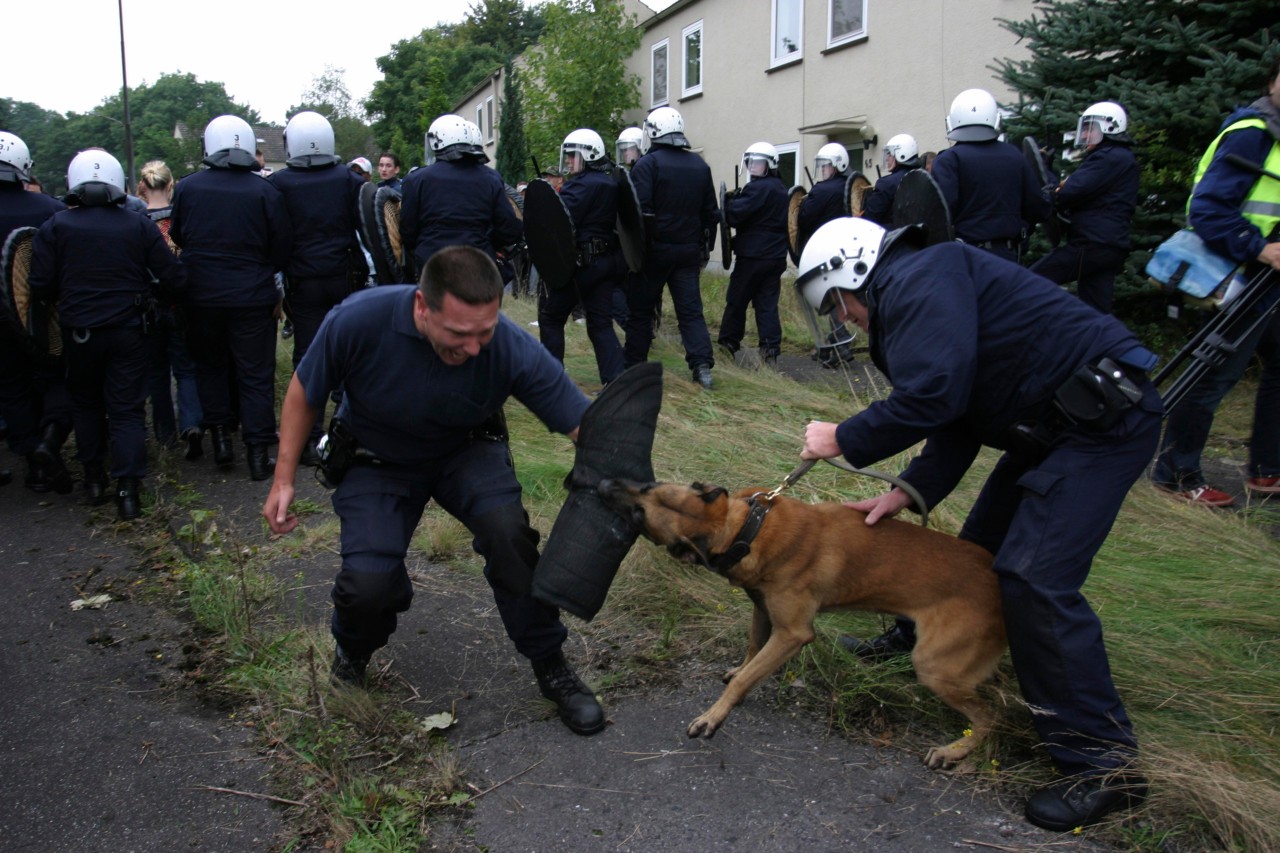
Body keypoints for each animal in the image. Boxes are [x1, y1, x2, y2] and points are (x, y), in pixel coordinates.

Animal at [599, 473, 1008, 768]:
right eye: (647, 487)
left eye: (640, 514)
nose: (603, 483)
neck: (745, 528)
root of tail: (1000, 586)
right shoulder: (763, 610)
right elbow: (752, 651)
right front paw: (738, 676)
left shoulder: (793, 634)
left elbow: (747, 676)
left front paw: (713, 716)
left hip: (934, 667)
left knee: (992, 717)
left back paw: (955, 751)